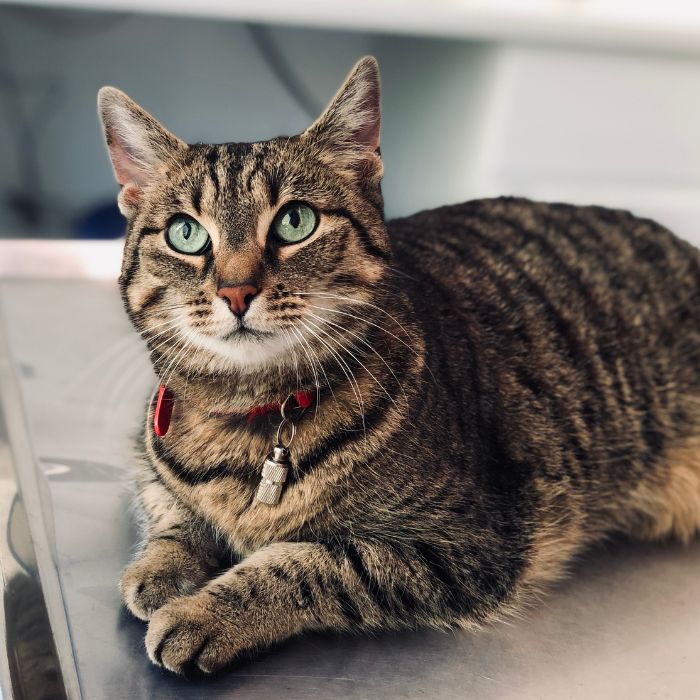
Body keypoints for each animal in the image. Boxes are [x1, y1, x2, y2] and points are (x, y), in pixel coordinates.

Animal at [95, 57, 700, 676]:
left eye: (294, 222)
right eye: (185, 233)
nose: (236, 291)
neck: (251, 418)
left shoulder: (466, 545)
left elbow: (305, 563)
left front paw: (204, 613)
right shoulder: (146, 456)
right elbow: (168, 508)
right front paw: (161, 568)